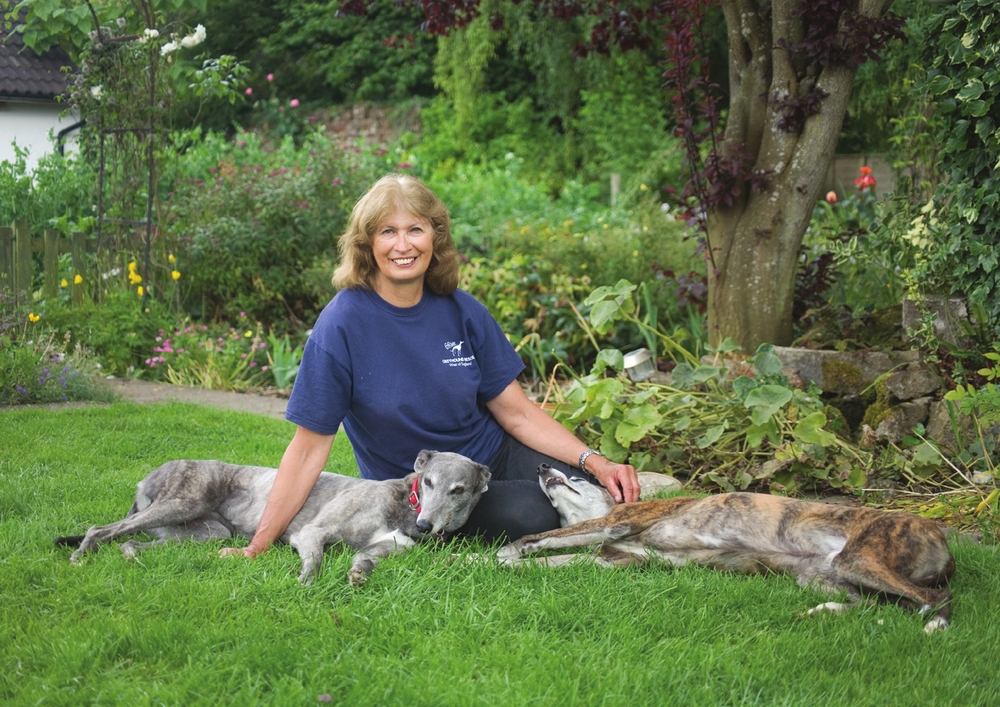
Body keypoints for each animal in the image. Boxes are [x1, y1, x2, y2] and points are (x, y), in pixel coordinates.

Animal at [56, 454, 490, 588]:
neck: (404, 505)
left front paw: (358, 575)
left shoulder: (385, 547)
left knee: (133, 542)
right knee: (102, 530)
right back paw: (79, 557)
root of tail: (146, 479)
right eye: (428, 481)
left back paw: (131, 556)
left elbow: (364, 560)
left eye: (458, 490)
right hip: (183, 501)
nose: (425, 527)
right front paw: (306, 586)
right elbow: (315, 561)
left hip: (203, 532)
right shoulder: (312, 532)